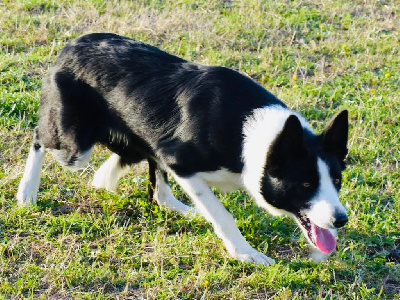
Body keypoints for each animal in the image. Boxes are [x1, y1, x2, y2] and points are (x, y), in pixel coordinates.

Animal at [16, 32, 346, 264]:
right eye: (305, 184)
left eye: (337, 181)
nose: (342, 220)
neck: (248, 133)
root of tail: (72, 45)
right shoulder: (180, 161)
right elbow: (222, 214)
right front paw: (245, 253)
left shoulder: (166, 151)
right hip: (75, 146)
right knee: (38, 136)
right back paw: (27, 192)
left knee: (151, 180)